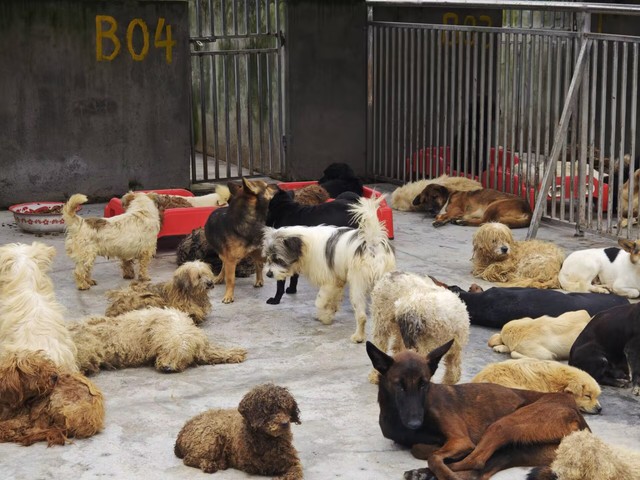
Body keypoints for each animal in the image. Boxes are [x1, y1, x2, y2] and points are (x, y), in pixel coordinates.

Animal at [263, 195, 396, 343]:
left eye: (278, 259)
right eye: (268, 258)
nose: (268, 274)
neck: (305, 245)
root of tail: (372, 243)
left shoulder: (330, 280)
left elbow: (320, 301)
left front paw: (324, 317)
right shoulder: (338, 281)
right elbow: (333, 301)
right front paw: (330, 313)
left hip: (358, 286)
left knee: (361, 316)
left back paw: (358, 337)